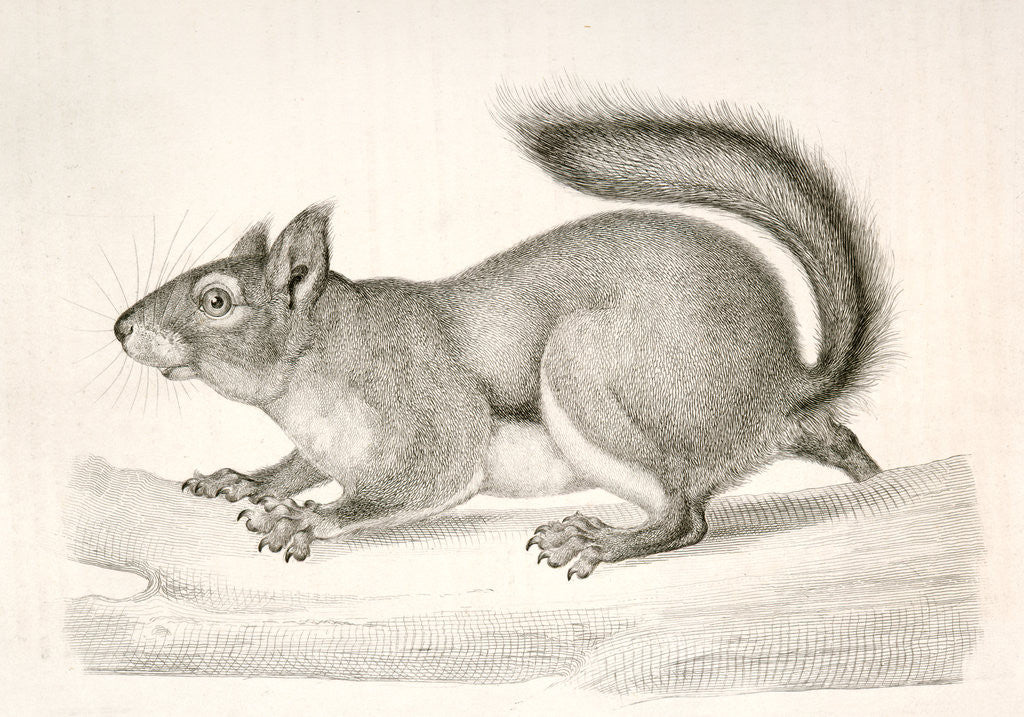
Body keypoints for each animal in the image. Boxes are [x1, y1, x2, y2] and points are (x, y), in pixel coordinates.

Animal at [113, 92, 892, 579]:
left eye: (216, 299)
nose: (122, 329)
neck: (319, 363)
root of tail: (783, 386)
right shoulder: (325, 442)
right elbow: (295, 464)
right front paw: (242, 480)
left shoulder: (430, 414)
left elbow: (412, 483)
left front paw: (306, 519)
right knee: (835, 442)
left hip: (590, 367)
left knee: (686, 517)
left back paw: (598, 539)